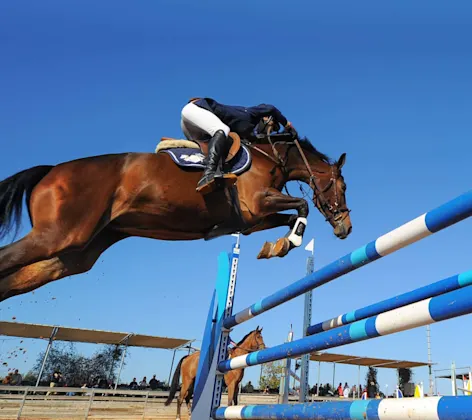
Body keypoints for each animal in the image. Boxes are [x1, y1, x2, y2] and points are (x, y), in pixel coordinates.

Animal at [0, 135, 350, 302]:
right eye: (344, 187)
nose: (346, 227)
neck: (271, 157)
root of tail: (50, 170)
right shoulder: (257, 203)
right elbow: (302, 206)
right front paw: (287, 243)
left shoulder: (251, 220)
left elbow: (290, 216)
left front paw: (276, 246)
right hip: (58, 234)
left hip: (74, 255)